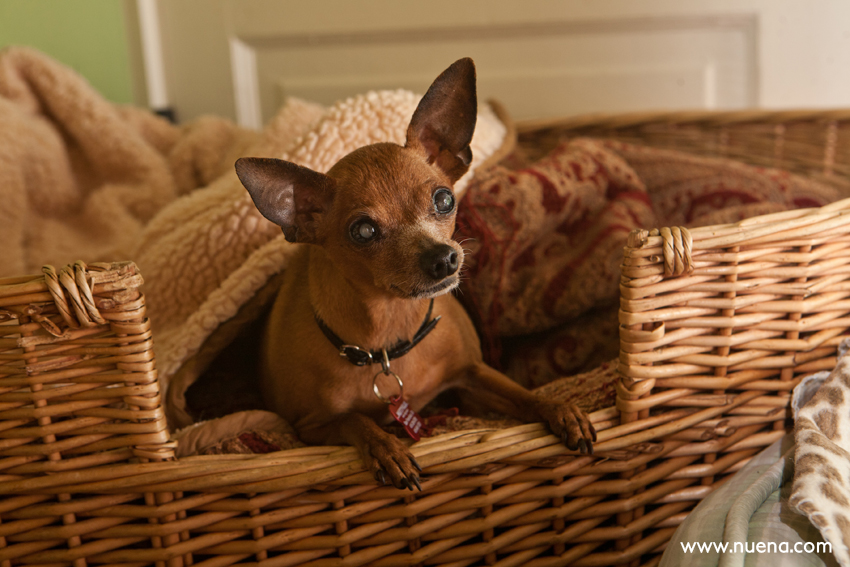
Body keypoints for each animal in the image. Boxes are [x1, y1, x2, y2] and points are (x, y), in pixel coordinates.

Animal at [235, 58, 592, 492]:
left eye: (444, 199)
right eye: (363, 231)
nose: (444, 259)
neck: (390, 330)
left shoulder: (473, 375)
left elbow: (523, 394)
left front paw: (559, 408)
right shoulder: (310, 428)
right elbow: (355, 420)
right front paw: (387, 448)